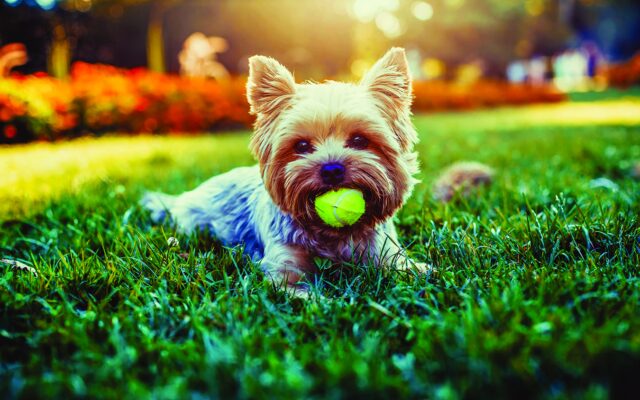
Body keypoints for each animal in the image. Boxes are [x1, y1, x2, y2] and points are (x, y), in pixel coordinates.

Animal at [142, 47, 428, 296]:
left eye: (359, 140)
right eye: (301, 146)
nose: (332, 169)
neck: (332, 235)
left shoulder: (384, 252)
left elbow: (407, 268)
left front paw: (422, 270)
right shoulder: (284, 266)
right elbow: (300, 292)